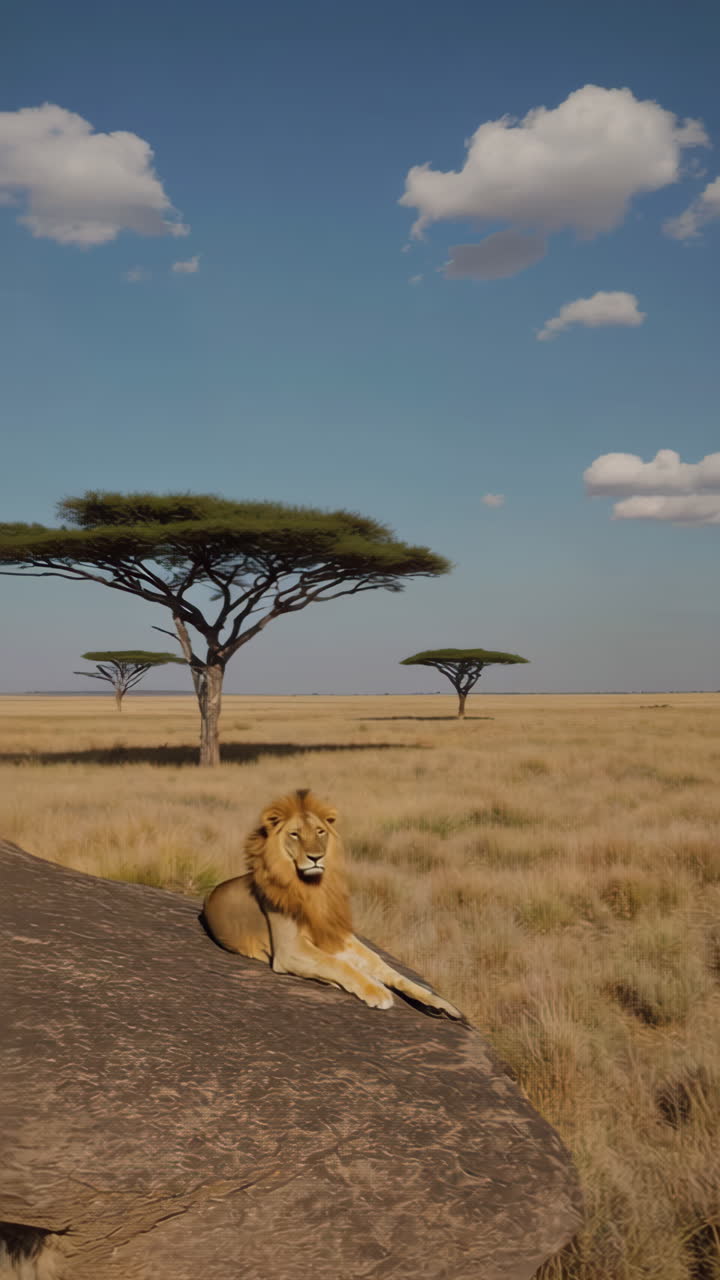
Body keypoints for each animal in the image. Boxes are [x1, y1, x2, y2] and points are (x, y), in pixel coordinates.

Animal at [202, 789, 465, 1020]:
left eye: (320, 832)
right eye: (295, 834)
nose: (316, 857)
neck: (315, 888)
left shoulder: (338, 936)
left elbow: (387, 968)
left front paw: (439, 1003)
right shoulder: (290, 949)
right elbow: (337, 964)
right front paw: (376, 991)